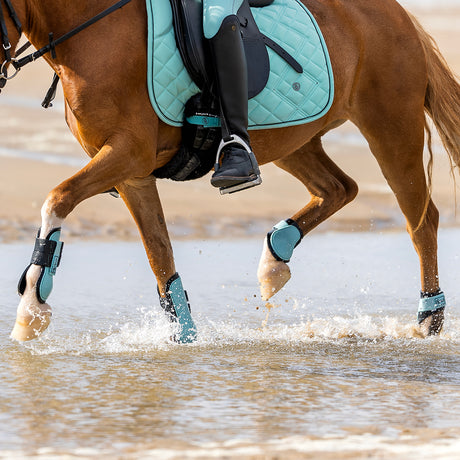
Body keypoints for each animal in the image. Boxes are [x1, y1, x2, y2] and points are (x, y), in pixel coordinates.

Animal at [4, 0, 460, 340]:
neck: (92, 32)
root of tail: (401, 16)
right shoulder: (131, 173)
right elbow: (160, 255)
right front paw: (185, 337)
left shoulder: (127, 153)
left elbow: (58, 198)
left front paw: (31, 306)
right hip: (289, 141)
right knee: (340, 188)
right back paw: (274, 260)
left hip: (391, 129)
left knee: (421, 221)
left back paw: (428, 319)